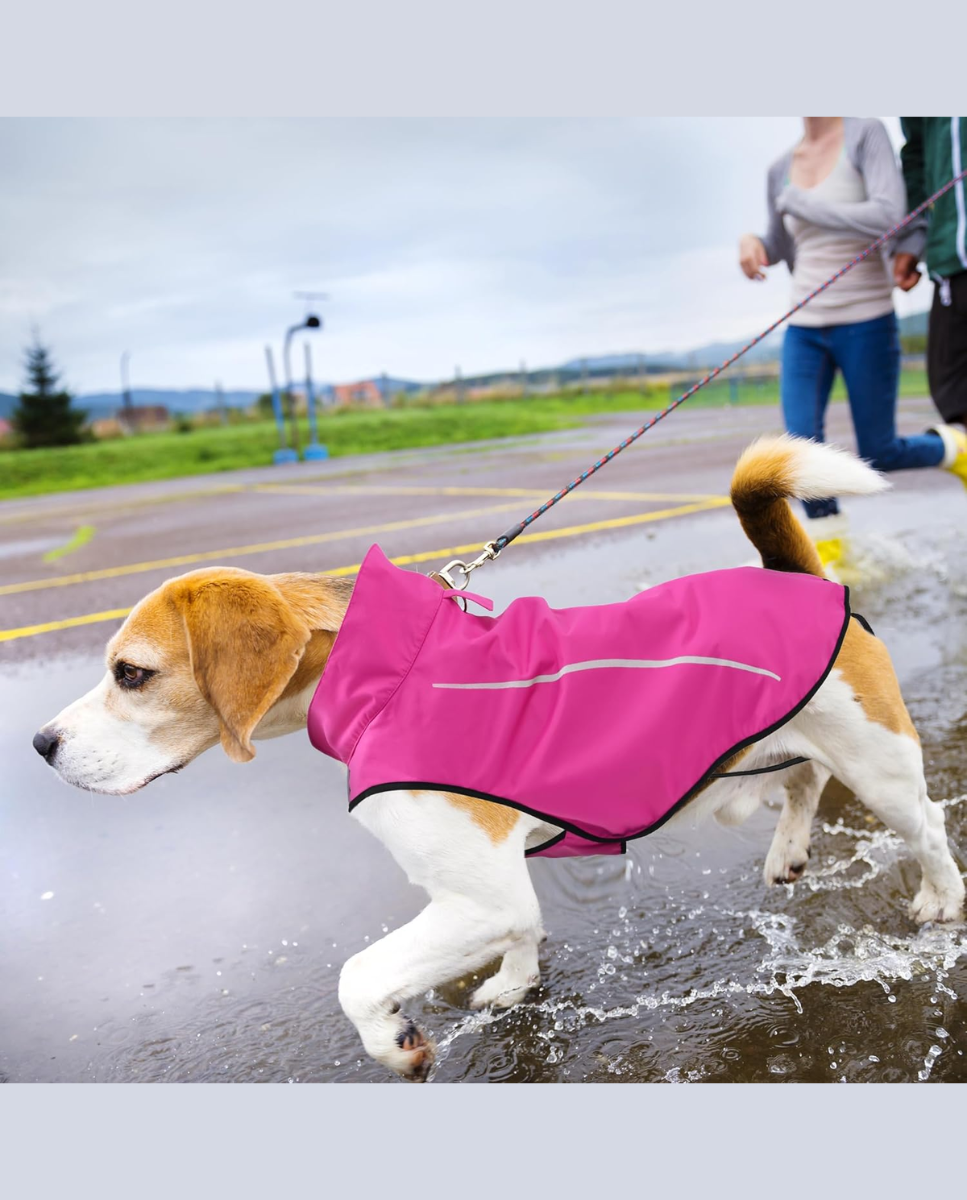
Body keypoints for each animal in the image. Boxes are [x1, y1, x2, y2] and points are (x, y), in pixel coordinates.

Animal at [34, 439, 964, 1080]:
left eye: (130, 673)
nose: (41, 746)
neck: (386, 671)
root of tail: (800, 578)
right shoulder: (497, 885)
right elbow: (524, 927)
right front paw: (514, 984)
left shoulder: (474, 895)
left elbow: (358, 976)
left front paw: (394, 1041)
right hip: (772, 752)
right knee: (804, 777)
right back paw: (789, 850)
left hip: (879, 767)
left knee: (924, 825)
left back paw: (938, 900)